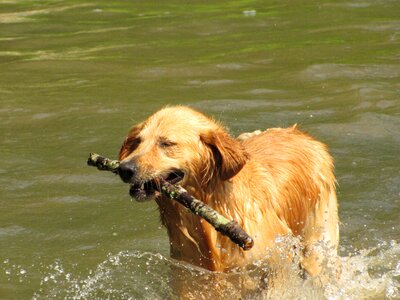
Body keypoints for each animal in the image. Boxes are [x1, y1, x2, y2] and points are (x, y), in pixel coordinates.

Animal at [118, 105, 338, 278]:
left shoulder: (275, 263)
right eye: (137, 142)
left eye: (166, 143)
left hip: (316, 245)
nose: (124, 169)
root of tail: (303, 134)